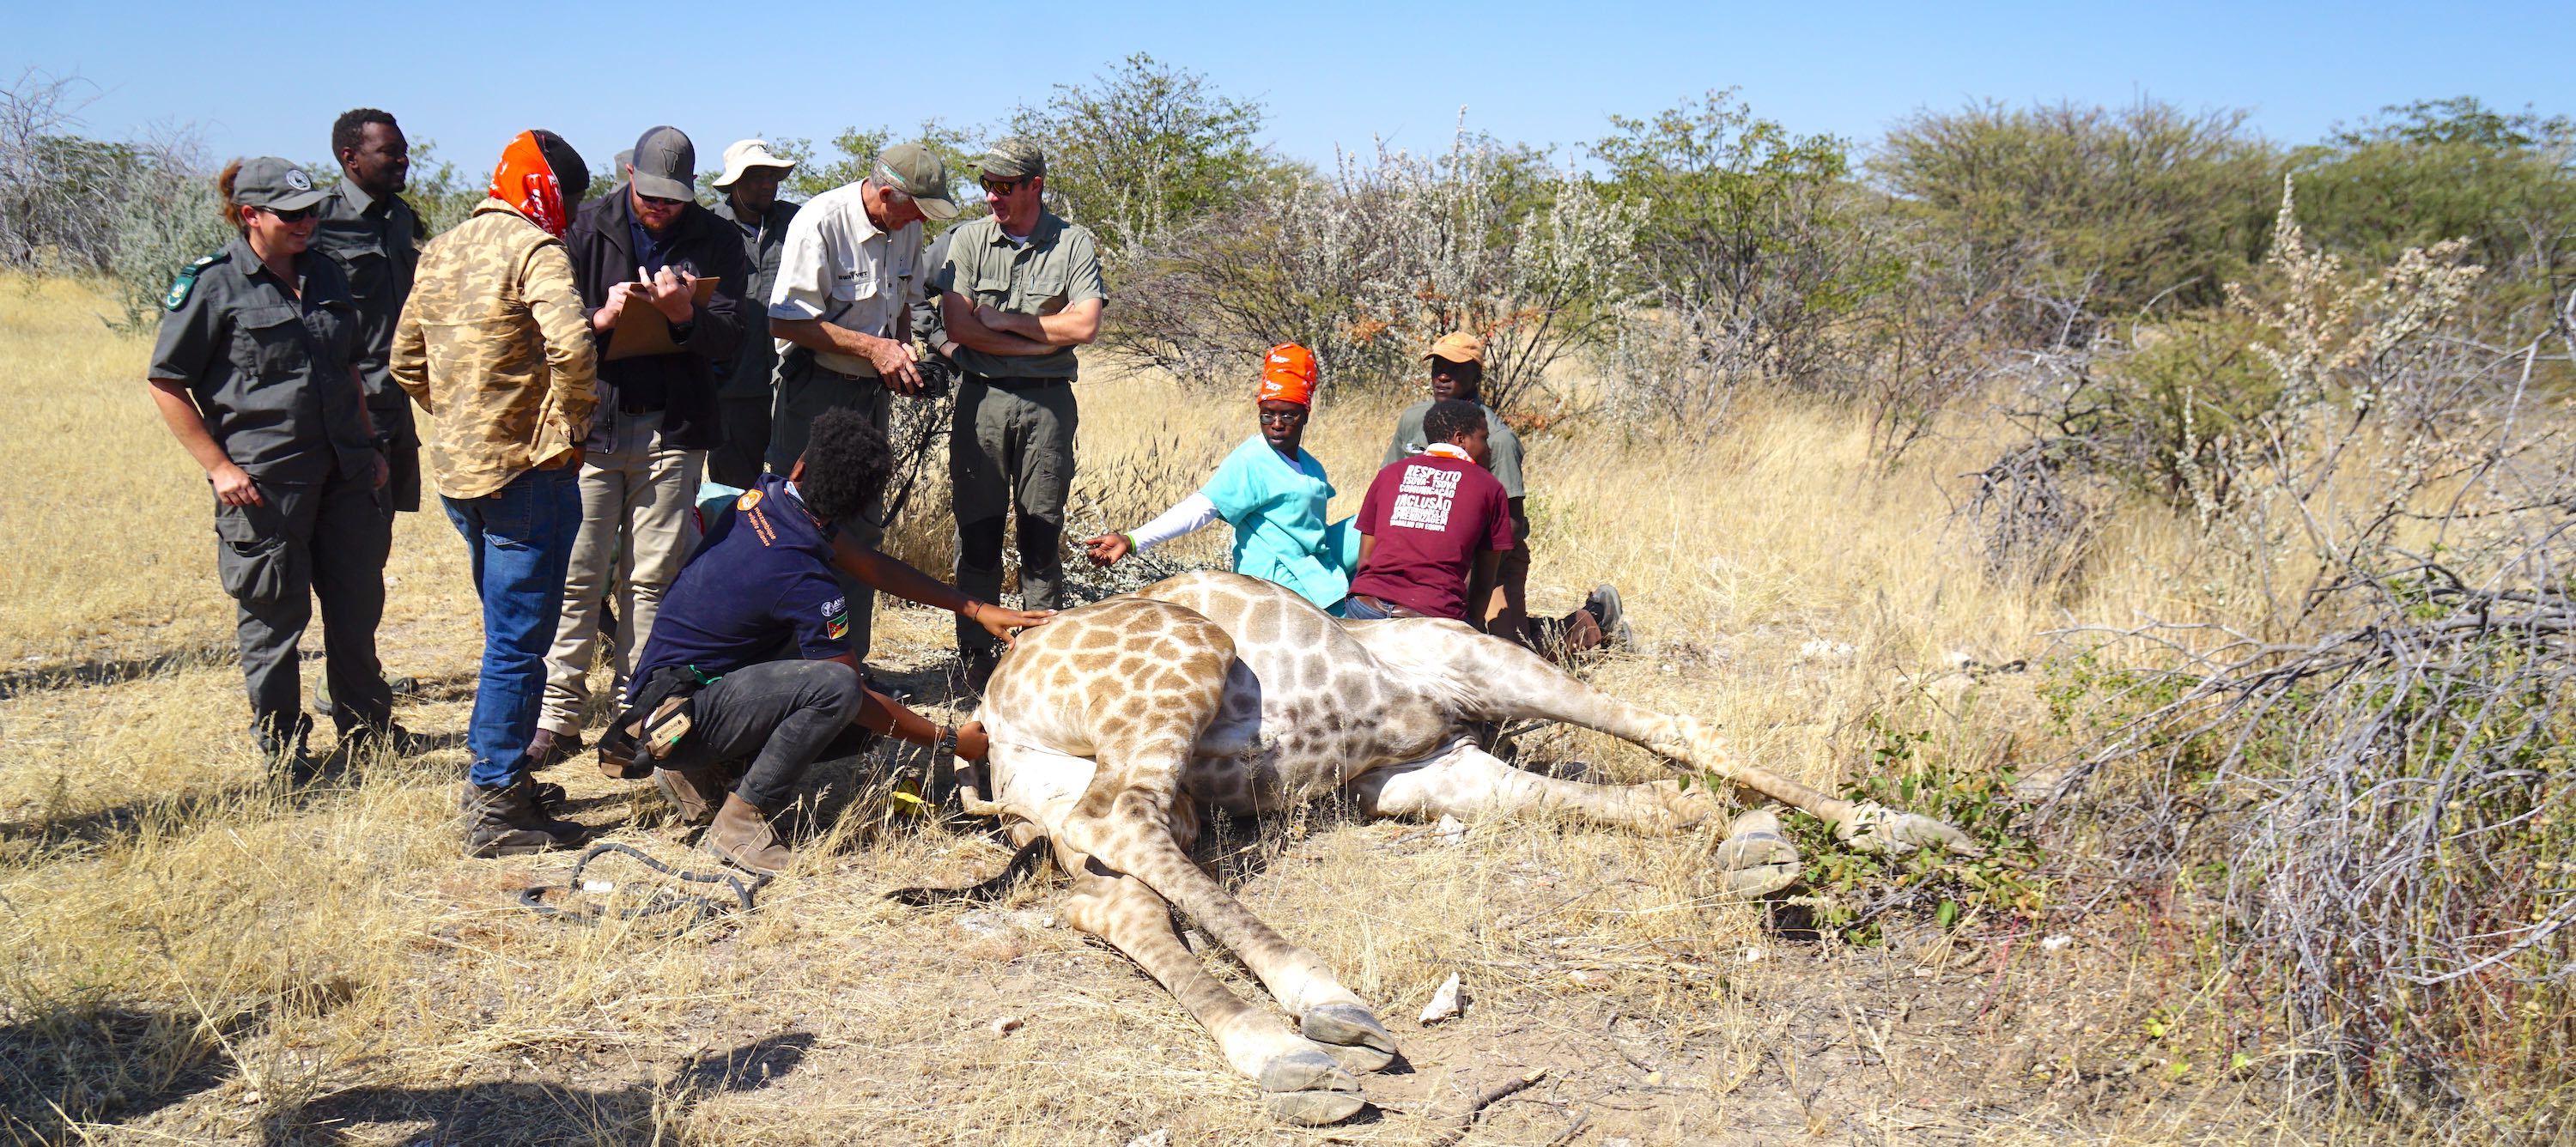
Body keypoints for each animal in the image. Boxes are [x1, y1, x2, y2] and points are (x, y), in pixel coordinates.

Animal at [943, 567, 1968, 1123]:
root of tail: (991, 713)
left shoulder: (1424, 766)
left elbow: (1640, 801)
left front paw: (1742, 837)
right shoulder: (1484, 671)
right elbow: (1673, 731)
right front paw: (1889, 829)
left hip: (1084, 806)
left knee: (1116, 895)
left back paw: (1279, 1054)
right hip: (1171, 683)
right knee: (1124, 825)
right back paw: (1323, 1002)